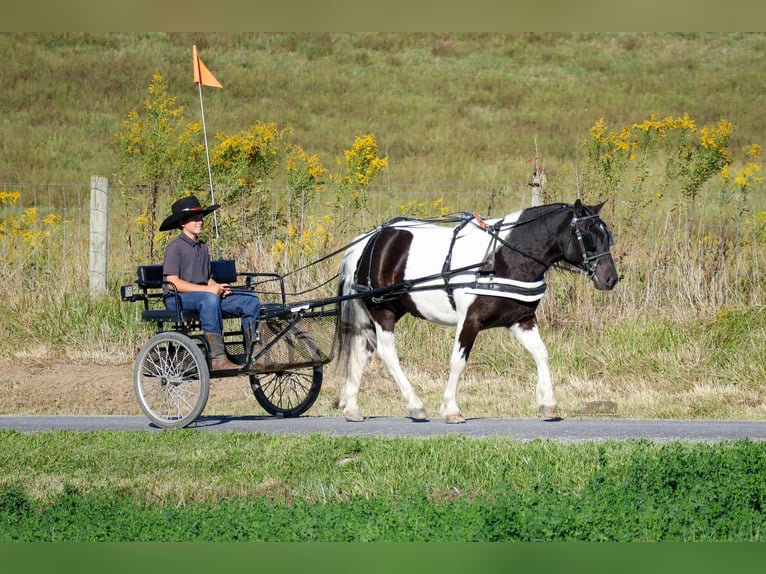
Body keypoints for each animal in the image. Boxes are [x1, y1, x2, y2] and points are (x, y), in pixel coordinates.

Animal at [335, 199, 619, 423]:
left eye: (608, 236)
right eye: (589, 237)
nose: (611, 279)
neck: (500, 257)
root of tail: (368, 240)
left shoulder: (521, 320)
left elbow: (541, 353)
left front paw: (547, 402)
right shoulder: (470, 320)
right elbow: (458, 362)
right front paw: (451, 409)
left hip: (384, 310)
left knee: (363, 350)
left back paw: (352, 407)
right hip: (382, 310)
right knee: (386, 352)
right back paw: (415, 404)